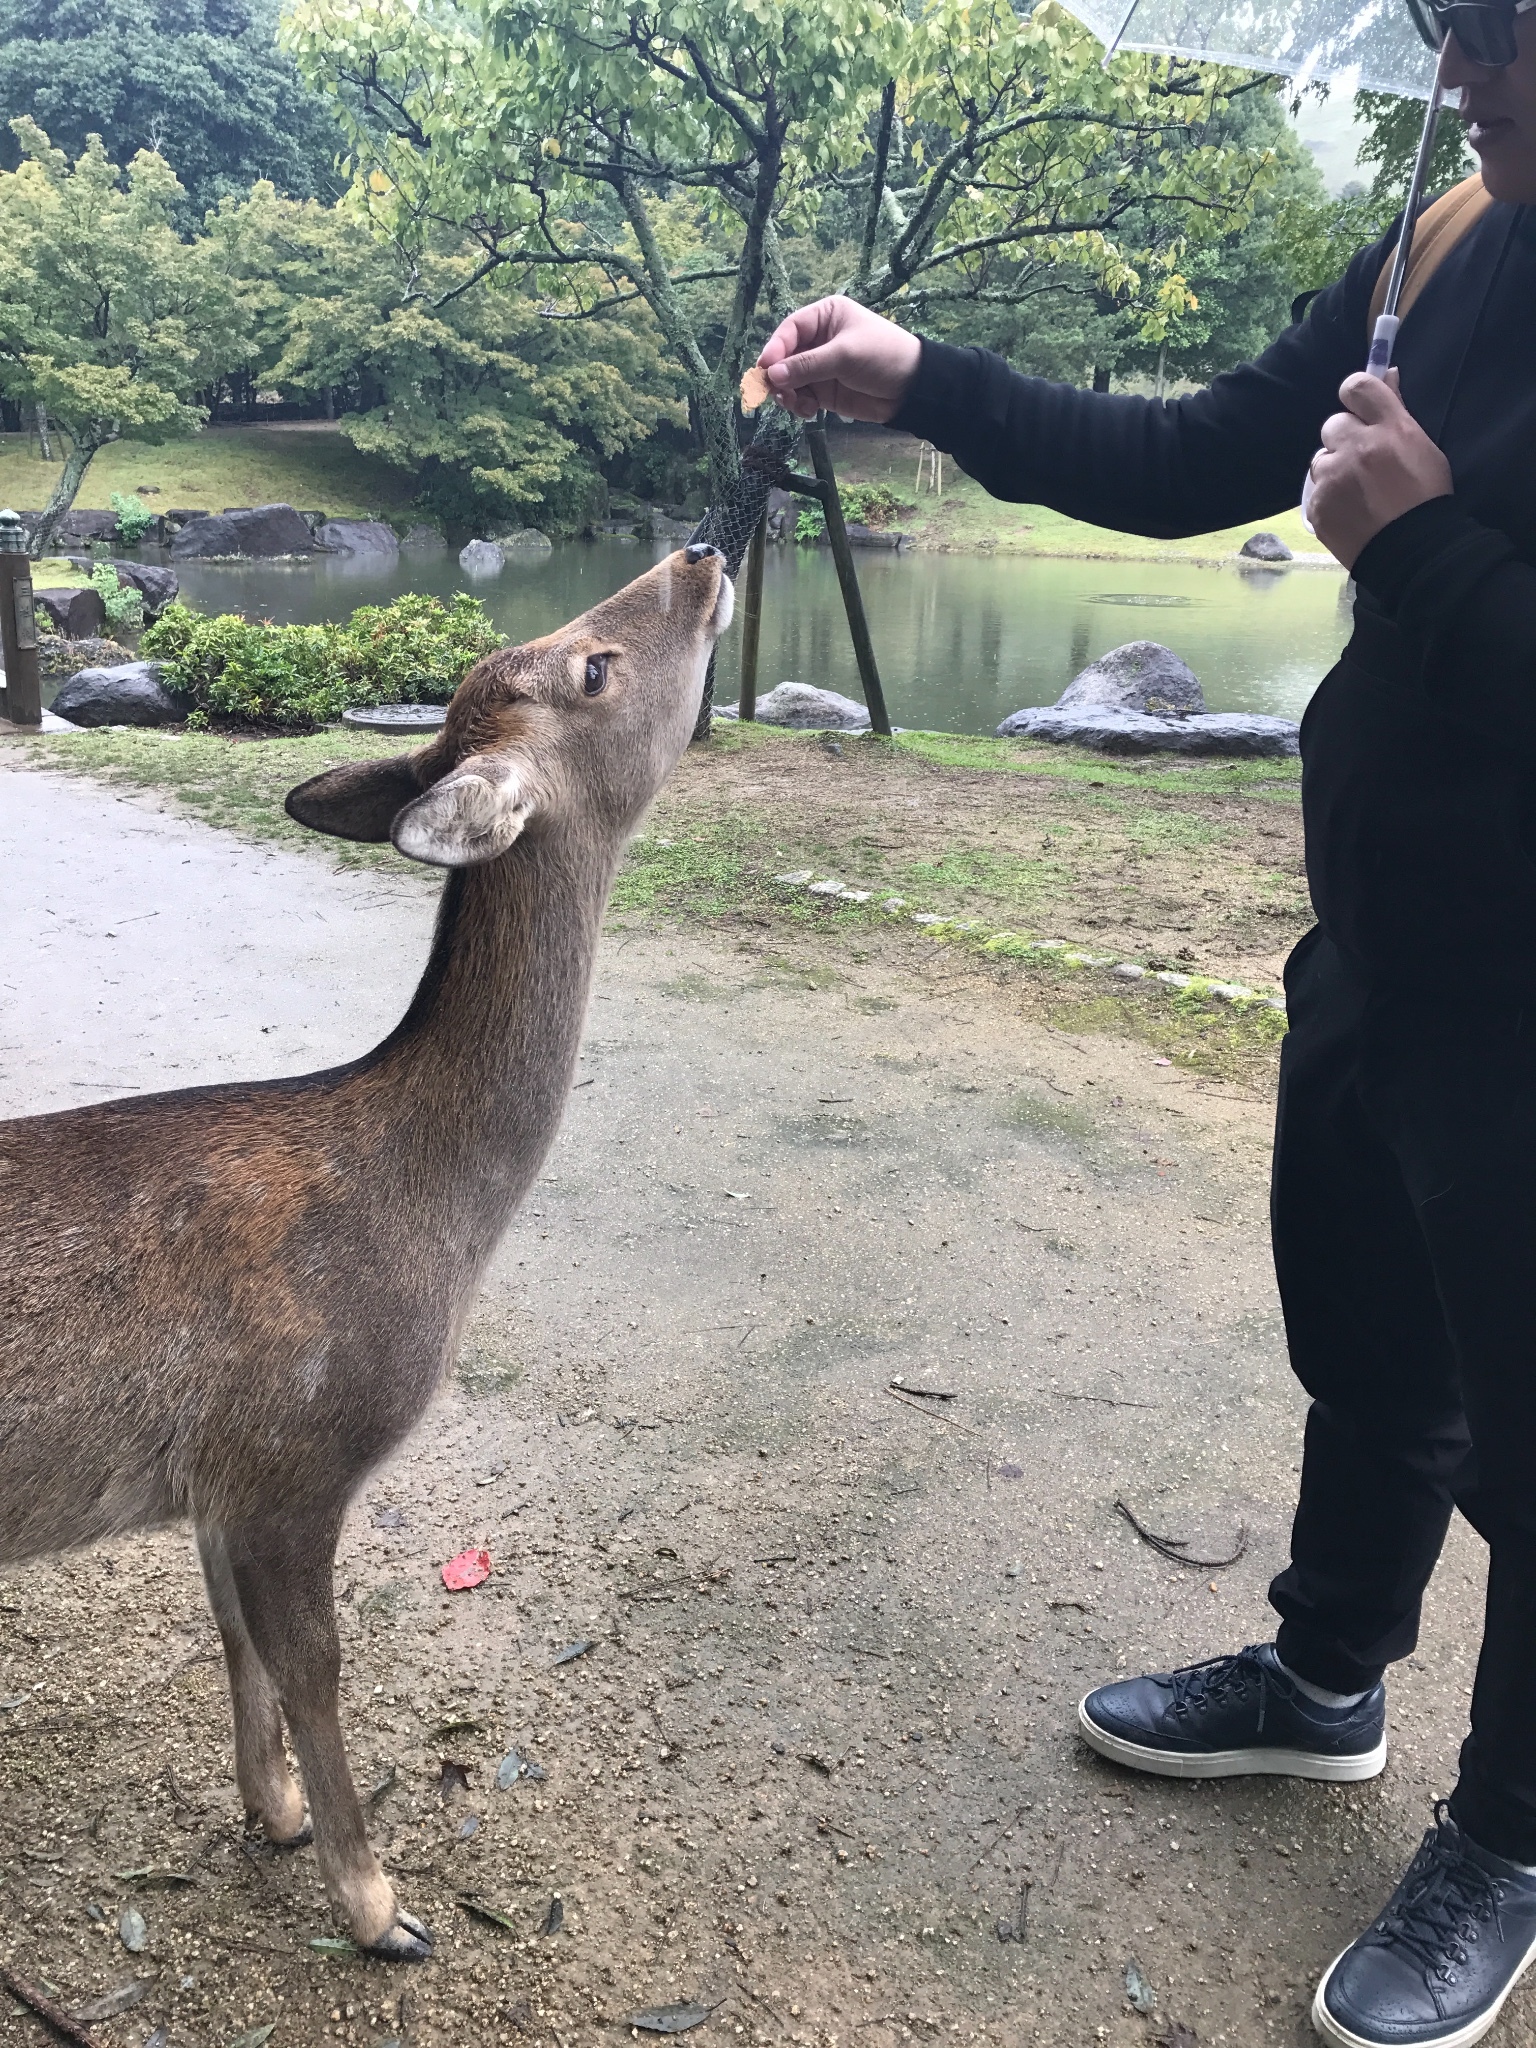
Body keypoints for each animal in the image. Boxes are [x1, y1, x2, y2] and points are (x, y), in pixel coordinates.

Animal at [0, 540, 741, 1949]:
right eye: (594, 665)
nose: (701, 552)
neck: (432, 1217)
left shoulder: (221, 1479)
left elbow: (233, 1636)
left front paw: (274, 1813)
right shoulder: (298, 1451)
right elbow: (320, 1667)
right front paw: (378, 1905)